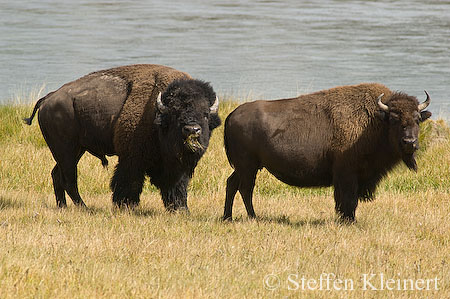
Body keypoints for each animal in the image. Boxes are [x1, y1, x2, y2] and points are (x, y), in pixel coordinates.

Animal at [24, 64, 221, 212]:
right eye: (176, 114)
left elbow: (177, 187)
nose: (192, 130)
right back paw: (84, 208)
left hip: (75, 150)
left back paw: (63, 207)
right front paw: (125, 206)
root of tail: (48, 99)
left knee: (57, 175)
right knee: (69, 179)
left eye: (205, 114)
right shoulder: (131, 159)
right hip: (67, 151)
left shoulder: (176, 168)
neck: (157, 115)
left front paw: (181, 209)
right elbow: (128, 182)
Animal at [225, 84, 432, 223]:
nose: (409, 142)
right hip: (248, 167)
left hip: (245, 167)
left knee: (232, 184)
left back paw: (228, 217)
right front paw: (349, 221)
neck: (375, 121)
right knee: (245, 189)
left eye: (417, 119)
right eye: (394, 119)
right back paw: (253, 217)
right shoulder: (347, 174)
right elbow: (348, 199)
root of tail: (231, 115)